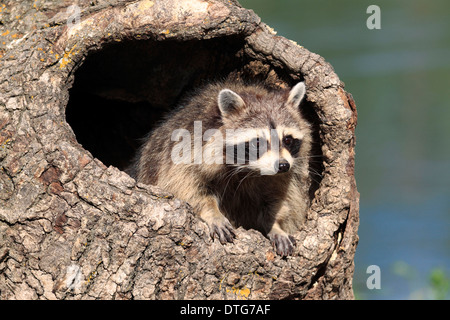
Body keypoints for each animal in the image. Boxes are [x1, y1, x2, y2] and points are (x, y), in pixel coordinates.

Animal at [132, 80, 312, 258]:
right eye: (257, 143)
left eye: (287, 140)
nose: (283, 166)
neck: (249, 169)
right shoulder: (182, 153)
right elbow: (185, 187)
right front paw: (211, 211)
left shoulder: (280, 176)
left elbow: (278, 197)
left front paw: (275, 224)